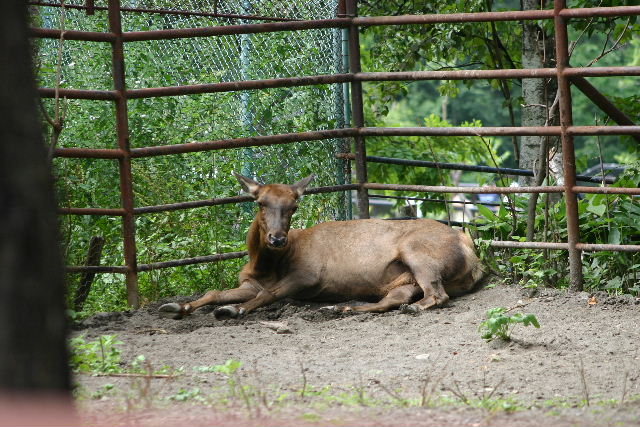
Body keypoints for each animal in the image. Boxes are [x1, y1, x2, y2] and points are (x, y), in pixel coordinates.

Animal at [160, 172, 484, 320]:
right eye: (261, 202)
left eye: (293, 206)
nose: (277, 239)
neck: (265, 265)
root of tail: (472, 254)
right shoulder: (249, 282)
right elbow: (214, 292)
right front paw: (177, 305)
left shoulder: (308, 276)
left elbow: (269, 295)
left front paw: (233, 309)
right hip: (404, 279)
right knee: (393, 299)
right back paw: (341, 307)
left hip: (417, 253)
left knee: (436, 295)